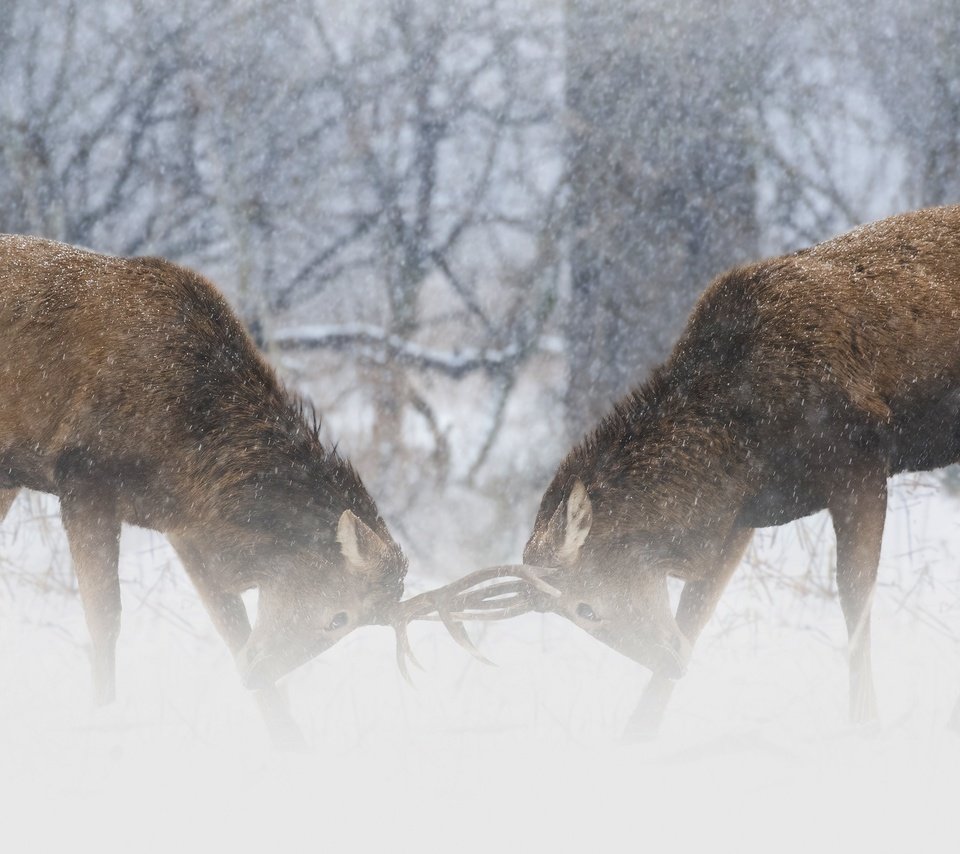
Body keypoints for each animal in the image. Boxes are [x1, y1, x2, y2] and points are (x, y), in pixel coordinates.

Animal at [0, 236, 412, 748]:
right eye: (340, 617)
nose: (257, 675)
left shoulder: (181, 527)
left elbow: (232, 630)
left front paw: (290, 740)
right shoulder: (81, 476)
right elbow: (105, 620)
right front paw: (104, 716)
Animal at [454, 204, 960, 740]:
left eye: (585, 608)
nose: (671, 662)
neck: (746, 446)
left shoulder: (859, 457)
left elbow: (853, 596)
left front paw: (867, 724)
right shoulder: (743, 518)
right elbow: (694, 614)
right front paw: (636, 734)